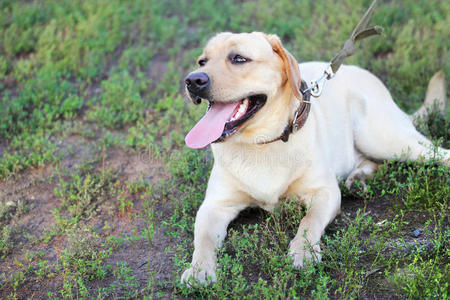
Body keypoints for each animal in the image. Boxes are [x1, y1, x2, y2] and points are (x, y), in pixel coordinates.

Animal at [179, 32, 446, 284]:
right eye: (202, 61)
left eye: (238, 59)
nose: (193, 80)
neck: (263, 143)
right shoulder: (214, 206)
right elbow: (202, 239)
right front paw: (199, 268)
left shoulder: (325, 192)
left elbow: (309, 221)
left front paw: (303, 251)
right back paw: (357, 179)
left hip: (383, 138)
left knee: (437, 153)